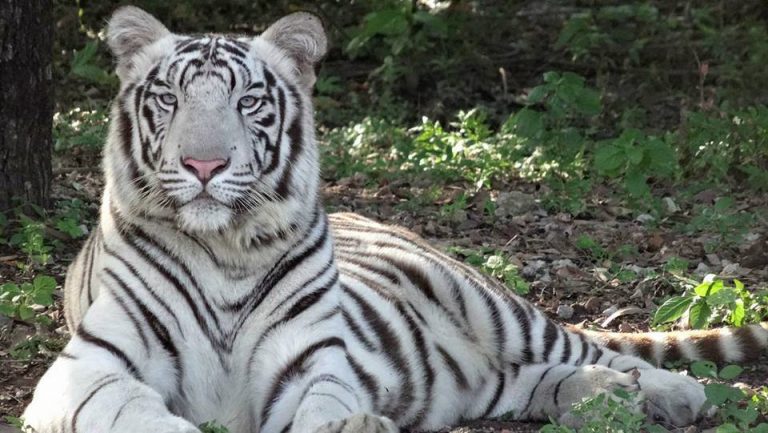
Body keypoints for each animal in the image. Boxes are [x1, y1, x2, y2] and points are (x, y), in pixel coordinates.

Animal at [22, 6, 768, 433]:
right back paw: (609, 399)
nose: (204, 164)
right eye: (169, 98)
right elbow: (140, 415)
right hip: (472, 380)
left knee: (592, 348)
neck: (225, 249)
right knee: (537, 378)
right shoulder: (87, 369)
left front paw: (355, 426)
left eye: (249, 102)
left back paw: (673, 394)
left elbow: (322, 406)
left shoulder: (311, 361)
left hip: (492, 307)